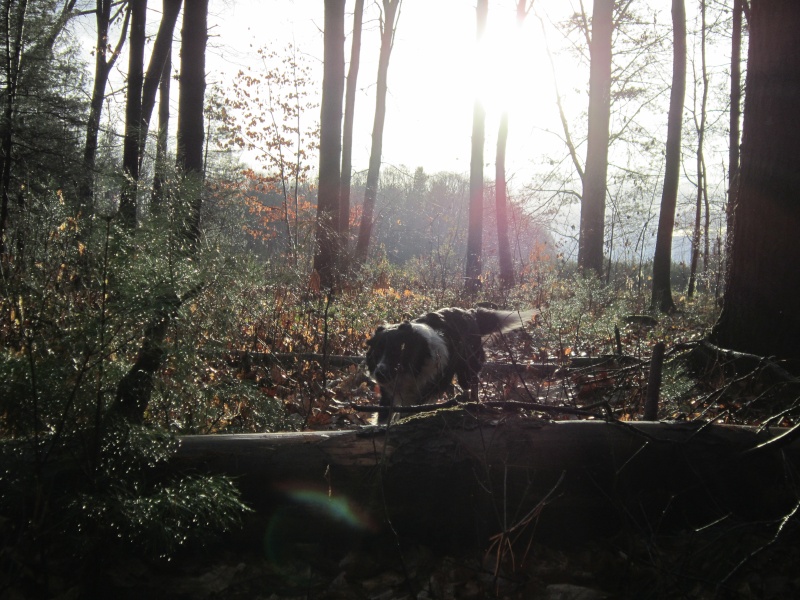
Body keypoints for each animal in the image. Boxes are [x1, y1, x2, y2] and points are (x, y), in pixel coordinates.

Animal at [366, 308, 536, 424]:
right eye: (376, 353)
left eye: (397, 351)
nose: (379, 374)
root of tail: (470, 313)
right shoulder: (389, 395)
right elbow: (383, 418)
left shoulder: (419, 396)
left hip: (467, 371)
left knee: (472, 384)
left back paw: (472, 402)